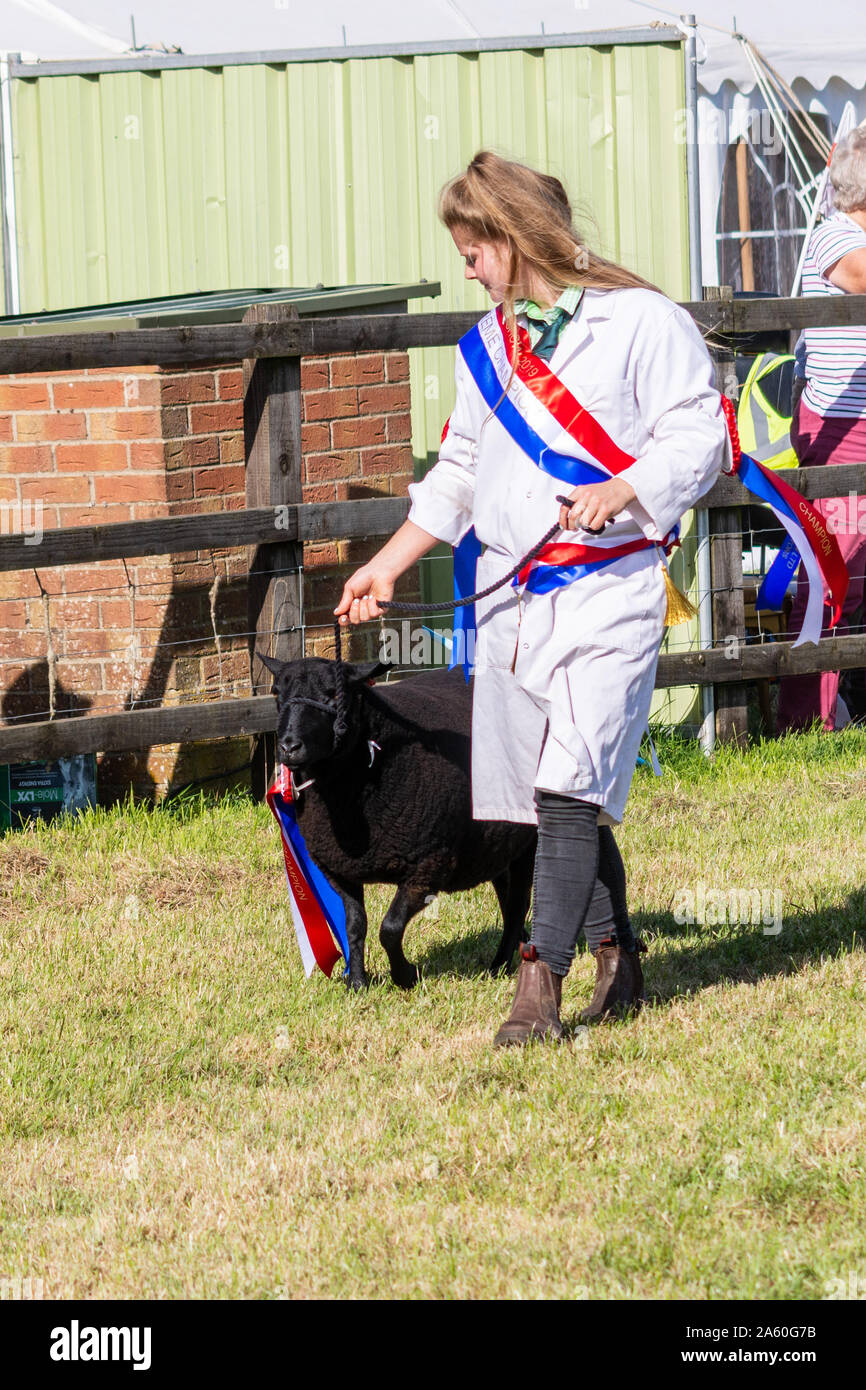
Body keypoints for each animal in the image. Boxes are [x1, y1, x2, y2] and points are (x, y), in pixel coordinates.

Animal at [257, 653, 536, 989]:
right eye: (277, 694)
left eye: (334, 695)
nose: (289, 747)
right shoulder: (339, 869)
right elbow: (355, 925)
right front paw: (358, 983)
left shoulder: (427, 866)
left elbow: (389, 929)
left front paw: (405, 976)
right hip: (496, 841)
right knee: (508, 897)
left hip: (528, 836)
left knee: (518, 902)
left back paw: (500, 964)